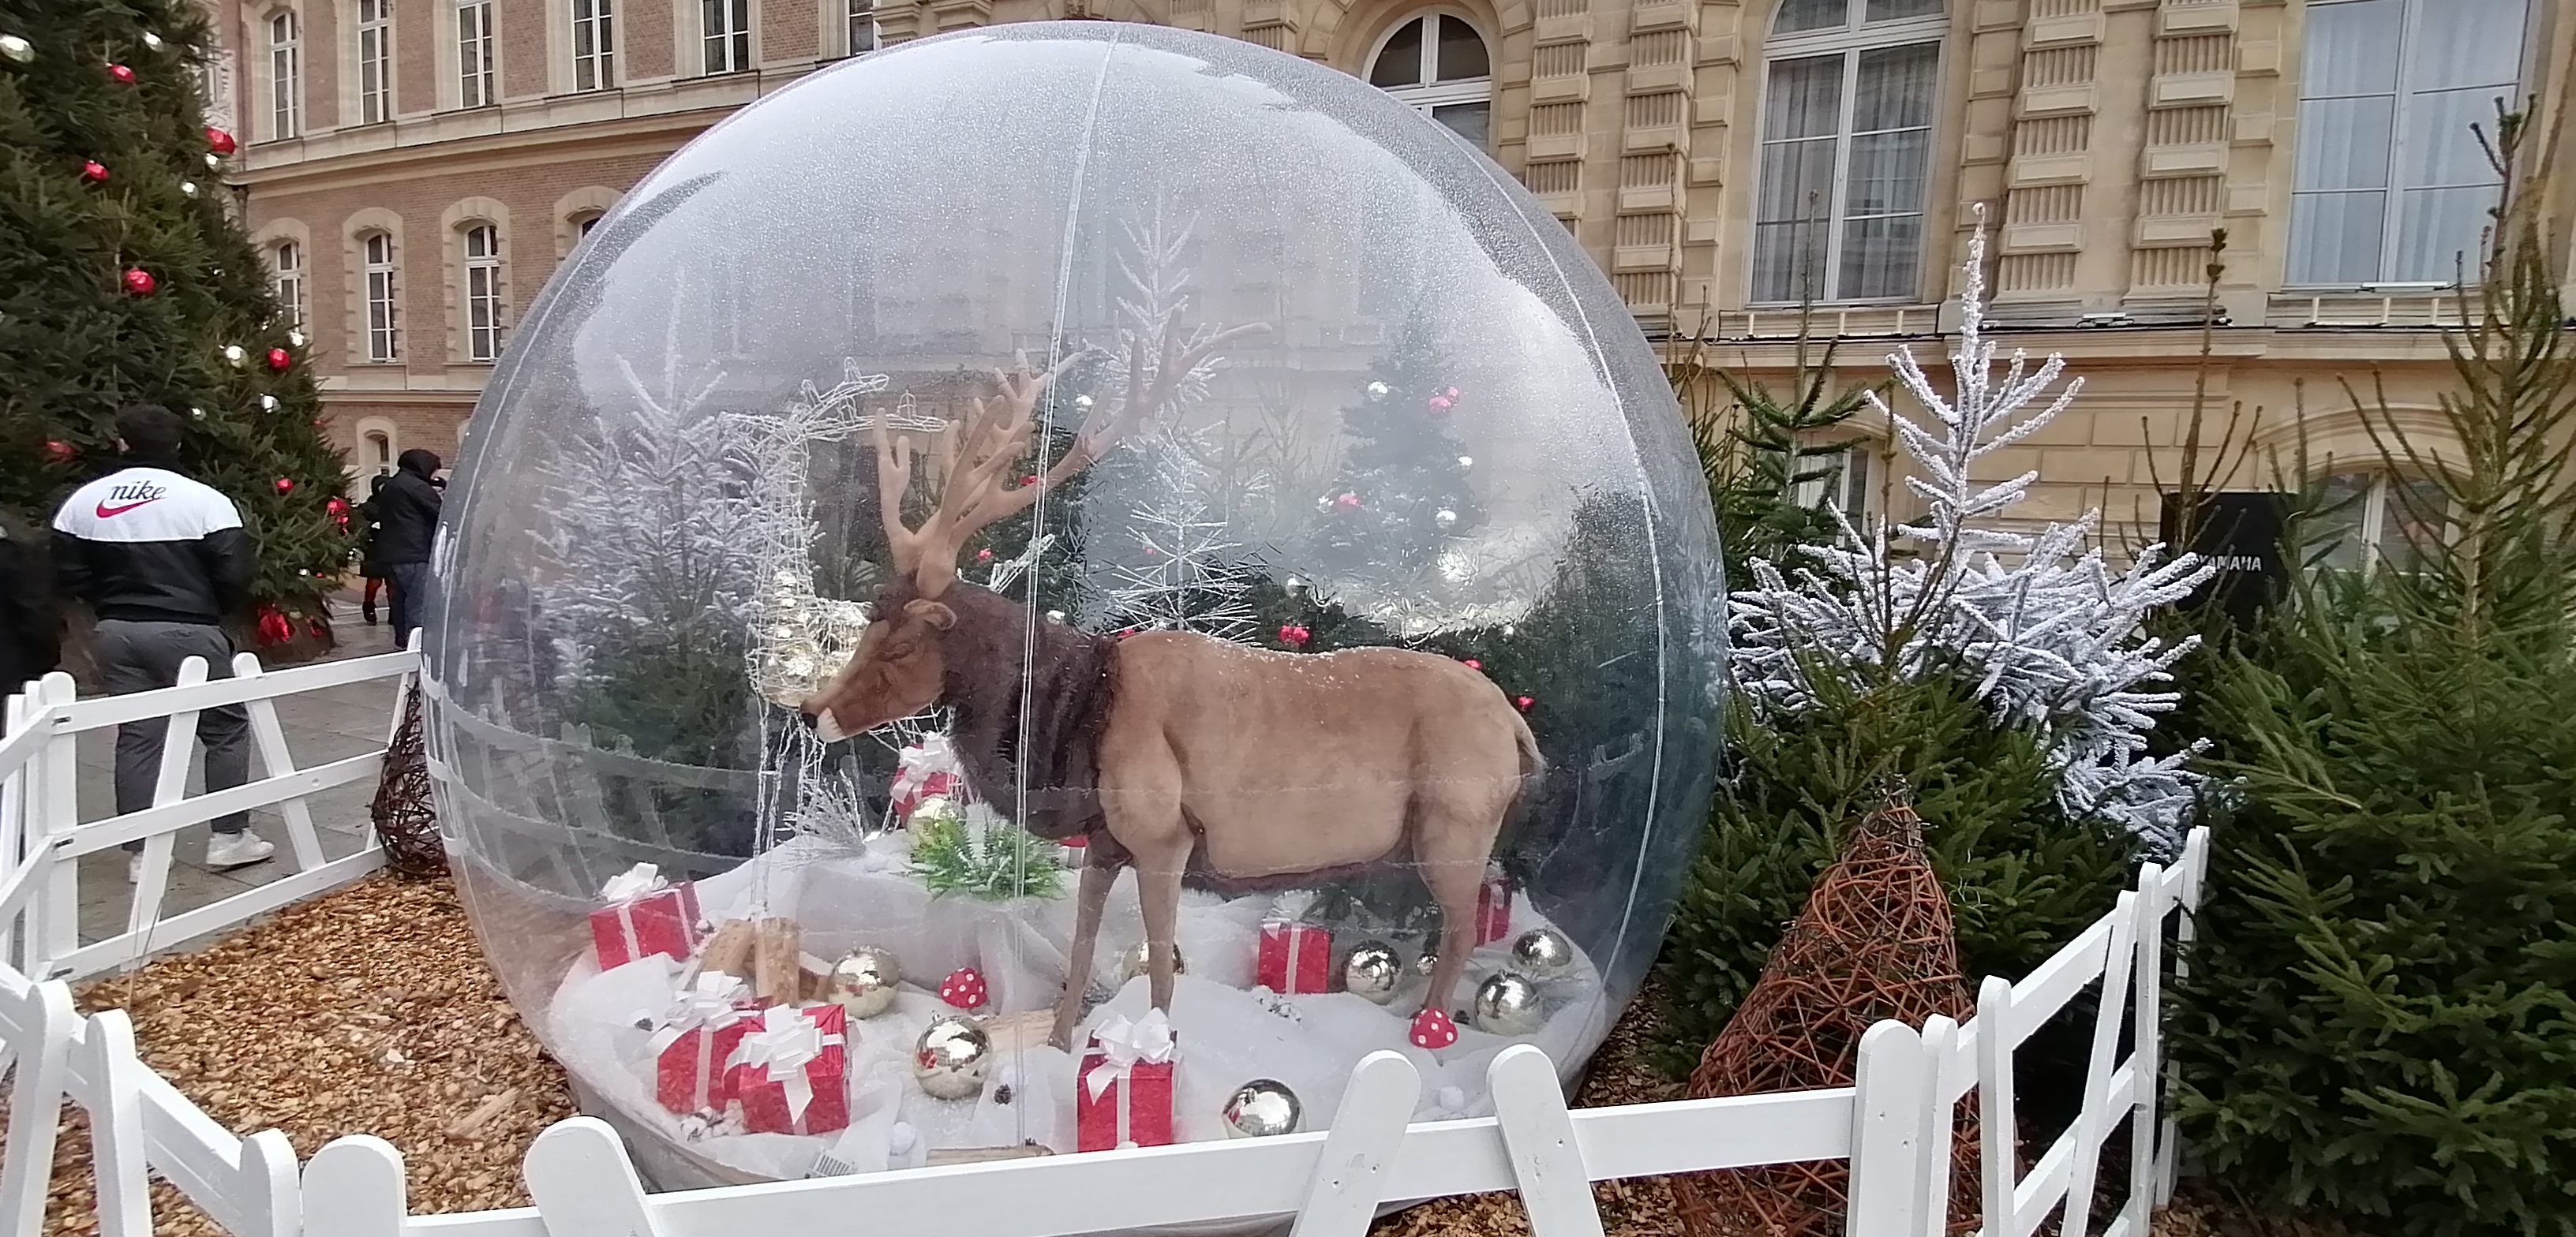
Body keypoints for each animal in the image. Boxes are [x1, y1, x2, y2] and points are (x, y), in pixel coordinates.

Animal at [800, 330, 1544, 1050]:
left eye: (902, 644)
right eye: (867, 619)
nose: (812, 712)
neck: (1074, 724)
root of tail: (1517, 726)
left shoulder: (1165, 836)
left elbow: (1159, 959)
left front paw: (1156, 1043)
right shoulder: (1105, 843)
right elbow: (1081, 944)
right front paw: (1061, 1041)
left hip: (1456, 825)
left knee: (1461, 933)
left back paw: (1429, 1032)